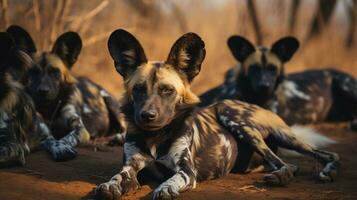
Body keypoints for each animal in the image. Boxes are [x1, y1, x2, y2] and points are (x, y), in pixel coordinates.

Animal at [93, 29, 338, 200]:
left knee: (312, 159)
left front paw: (165, 189)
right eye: (139, 89)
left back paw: (299, 175)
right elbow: (118, 177)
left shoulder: (186, 171)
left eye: (167, 90)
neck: (156, 135)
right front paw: (109, 186)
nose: (147, 115)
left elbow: (171, 181)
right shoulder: (131, 168)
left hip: (236, 118)